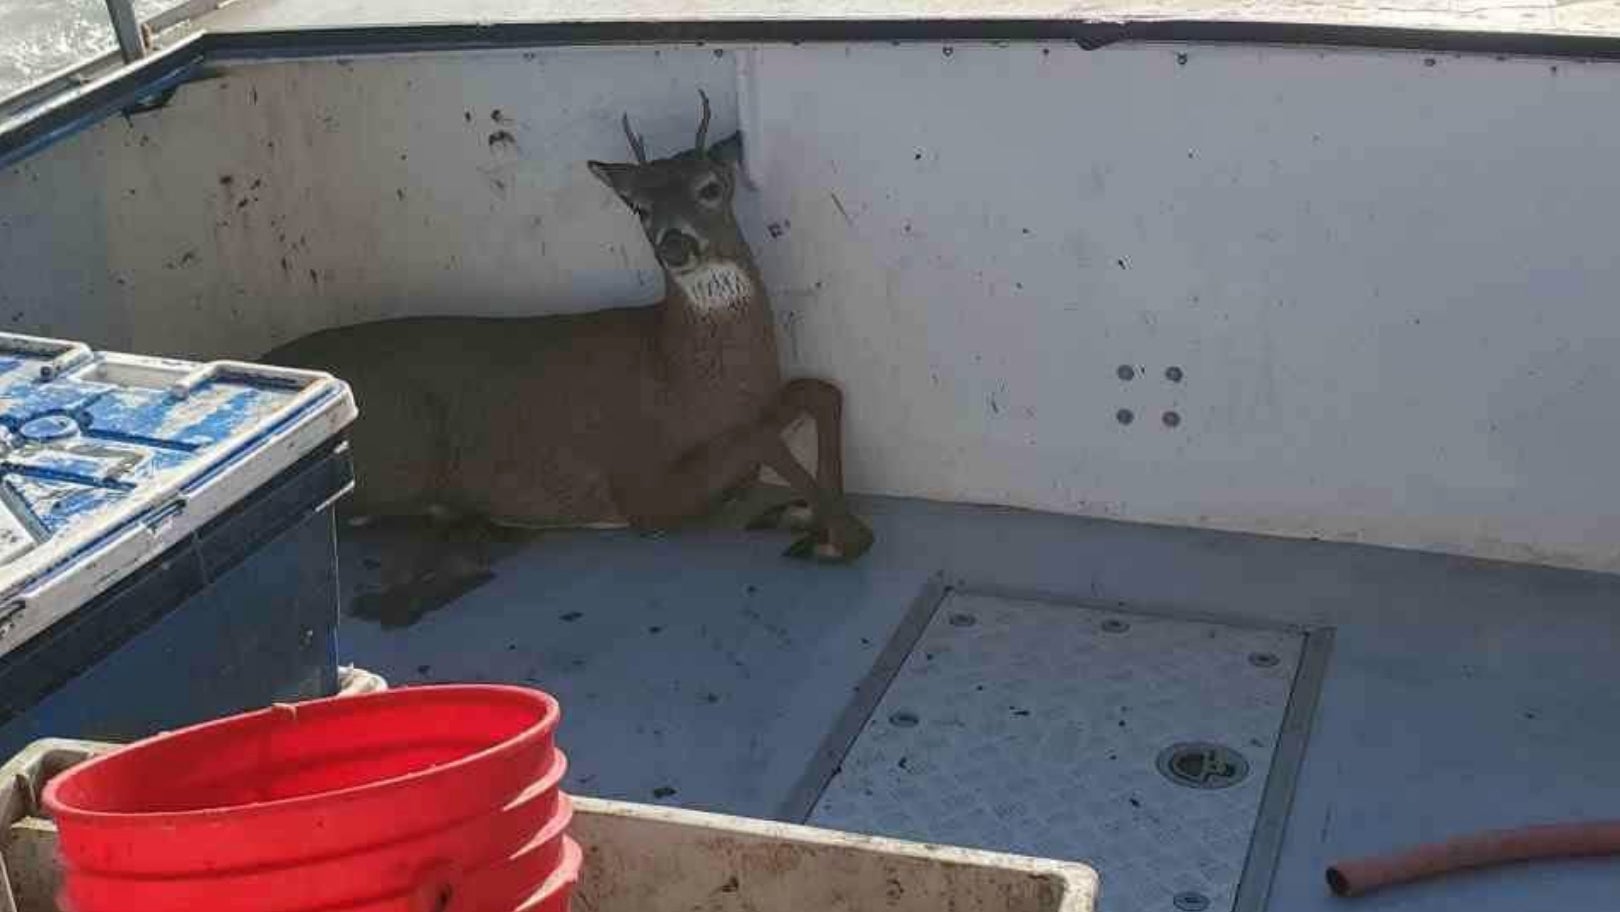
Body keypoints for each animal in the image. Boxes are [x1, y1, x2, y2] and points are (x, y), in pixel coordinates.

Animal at [266, 92, 873, 609]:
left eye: (710, 186)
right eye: (638, 207)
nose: (674, 243)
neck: (678, 375)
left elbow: (819, 391)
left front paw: (808, 515)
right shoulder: (642, 487)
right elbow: (761, 436)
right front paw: (839, 535)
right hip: (403, 446)